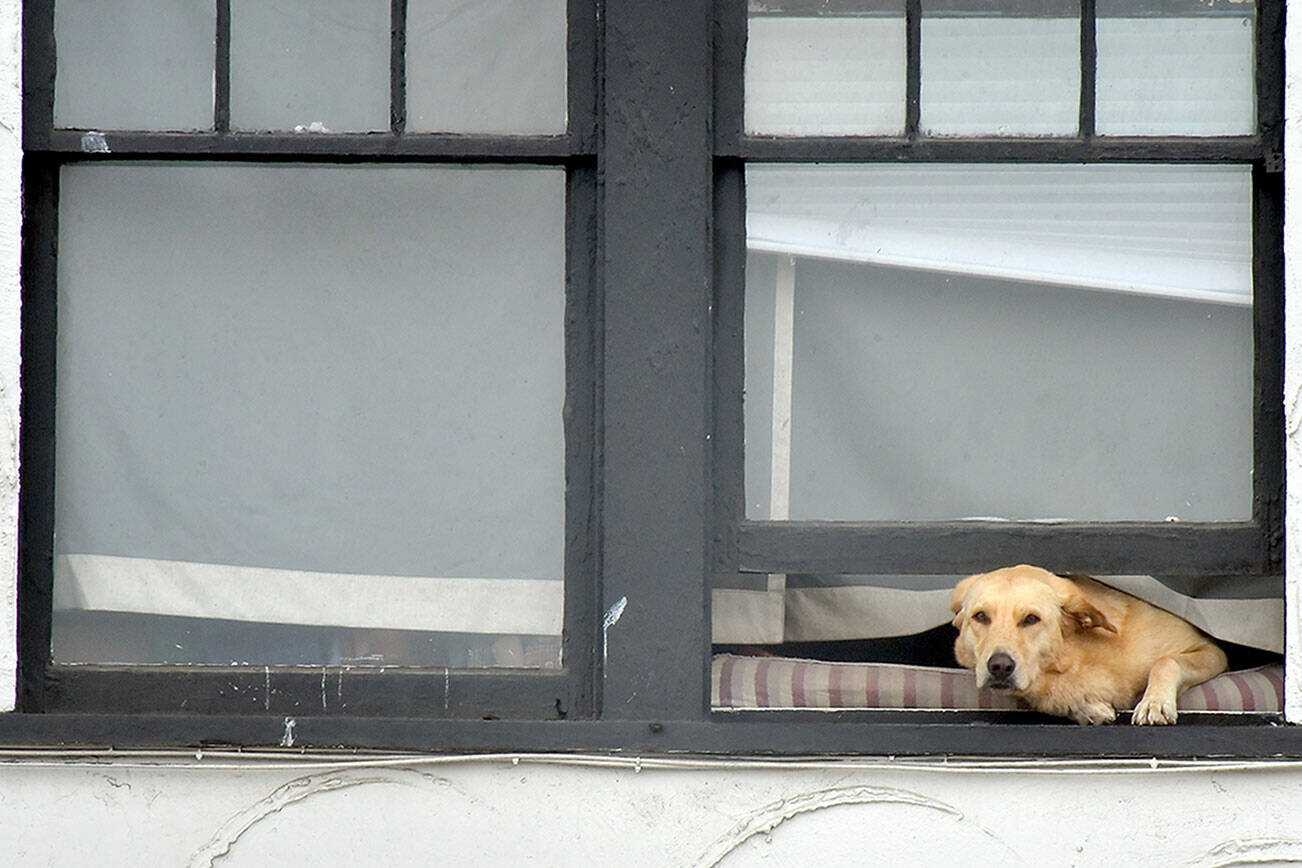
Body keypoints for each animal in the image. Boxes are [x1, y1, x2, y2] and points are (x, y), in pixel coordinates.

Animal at [953, 564, 1223, 728]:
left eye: (1031, 619)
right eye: (980, 616)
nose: (999, 666)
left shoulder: (1212, 651)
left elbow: (1165, 661)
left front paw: (1154, 702)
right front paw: (1087, 709)